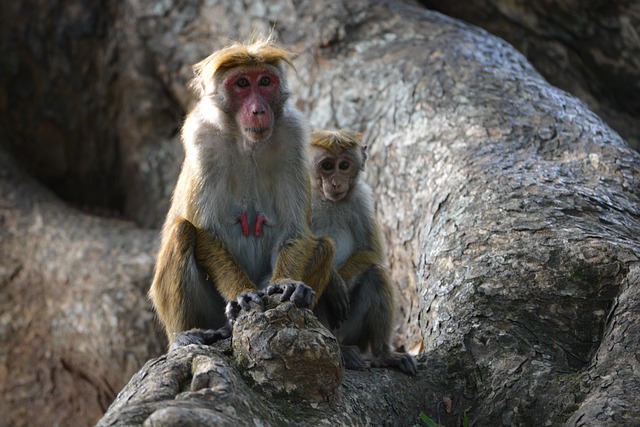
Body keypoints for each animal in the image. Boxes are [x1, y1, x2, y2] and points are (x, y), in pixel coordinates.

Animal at [149, 37, 350, 352]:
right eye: (242, 83)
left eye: (265, 82)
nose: (258, 110)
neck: (247, 141)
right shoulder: (202, 139)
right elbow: (207, 231)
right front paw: (242, 294)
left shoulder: (293, 136)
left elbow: (295, 229)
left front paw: (289, 284)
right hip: (208, 312)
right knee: (183, 231)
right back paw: (187, 335)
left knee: (324, 245)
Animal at [308, 130, 416, 374]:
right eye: (327, 165)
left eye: (344, 165)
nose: (336, 182)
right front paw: (333, 283)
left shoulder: (361, 198)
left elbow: (371, 252)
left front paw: (337, 284)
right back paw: (342, 351)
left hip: (353, 331)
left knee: (376, 273)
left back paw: (383, 354)